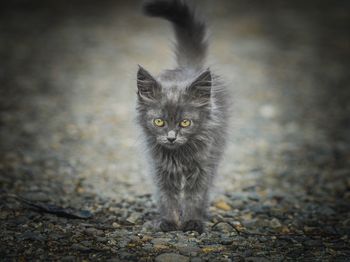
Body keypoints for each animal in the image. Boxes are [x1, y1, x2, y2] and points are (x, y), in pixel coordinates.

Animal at [135, 0, 228, 233]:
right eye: (159, 122)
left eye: (185, 123)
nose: (171, 137)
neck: (178, 155)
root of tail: (189, 68)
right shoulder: (160, 169)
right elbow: (167, 197)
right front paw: (169, 222)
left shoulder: (203, 166)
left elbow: (195, 196)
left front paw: (192, 222)